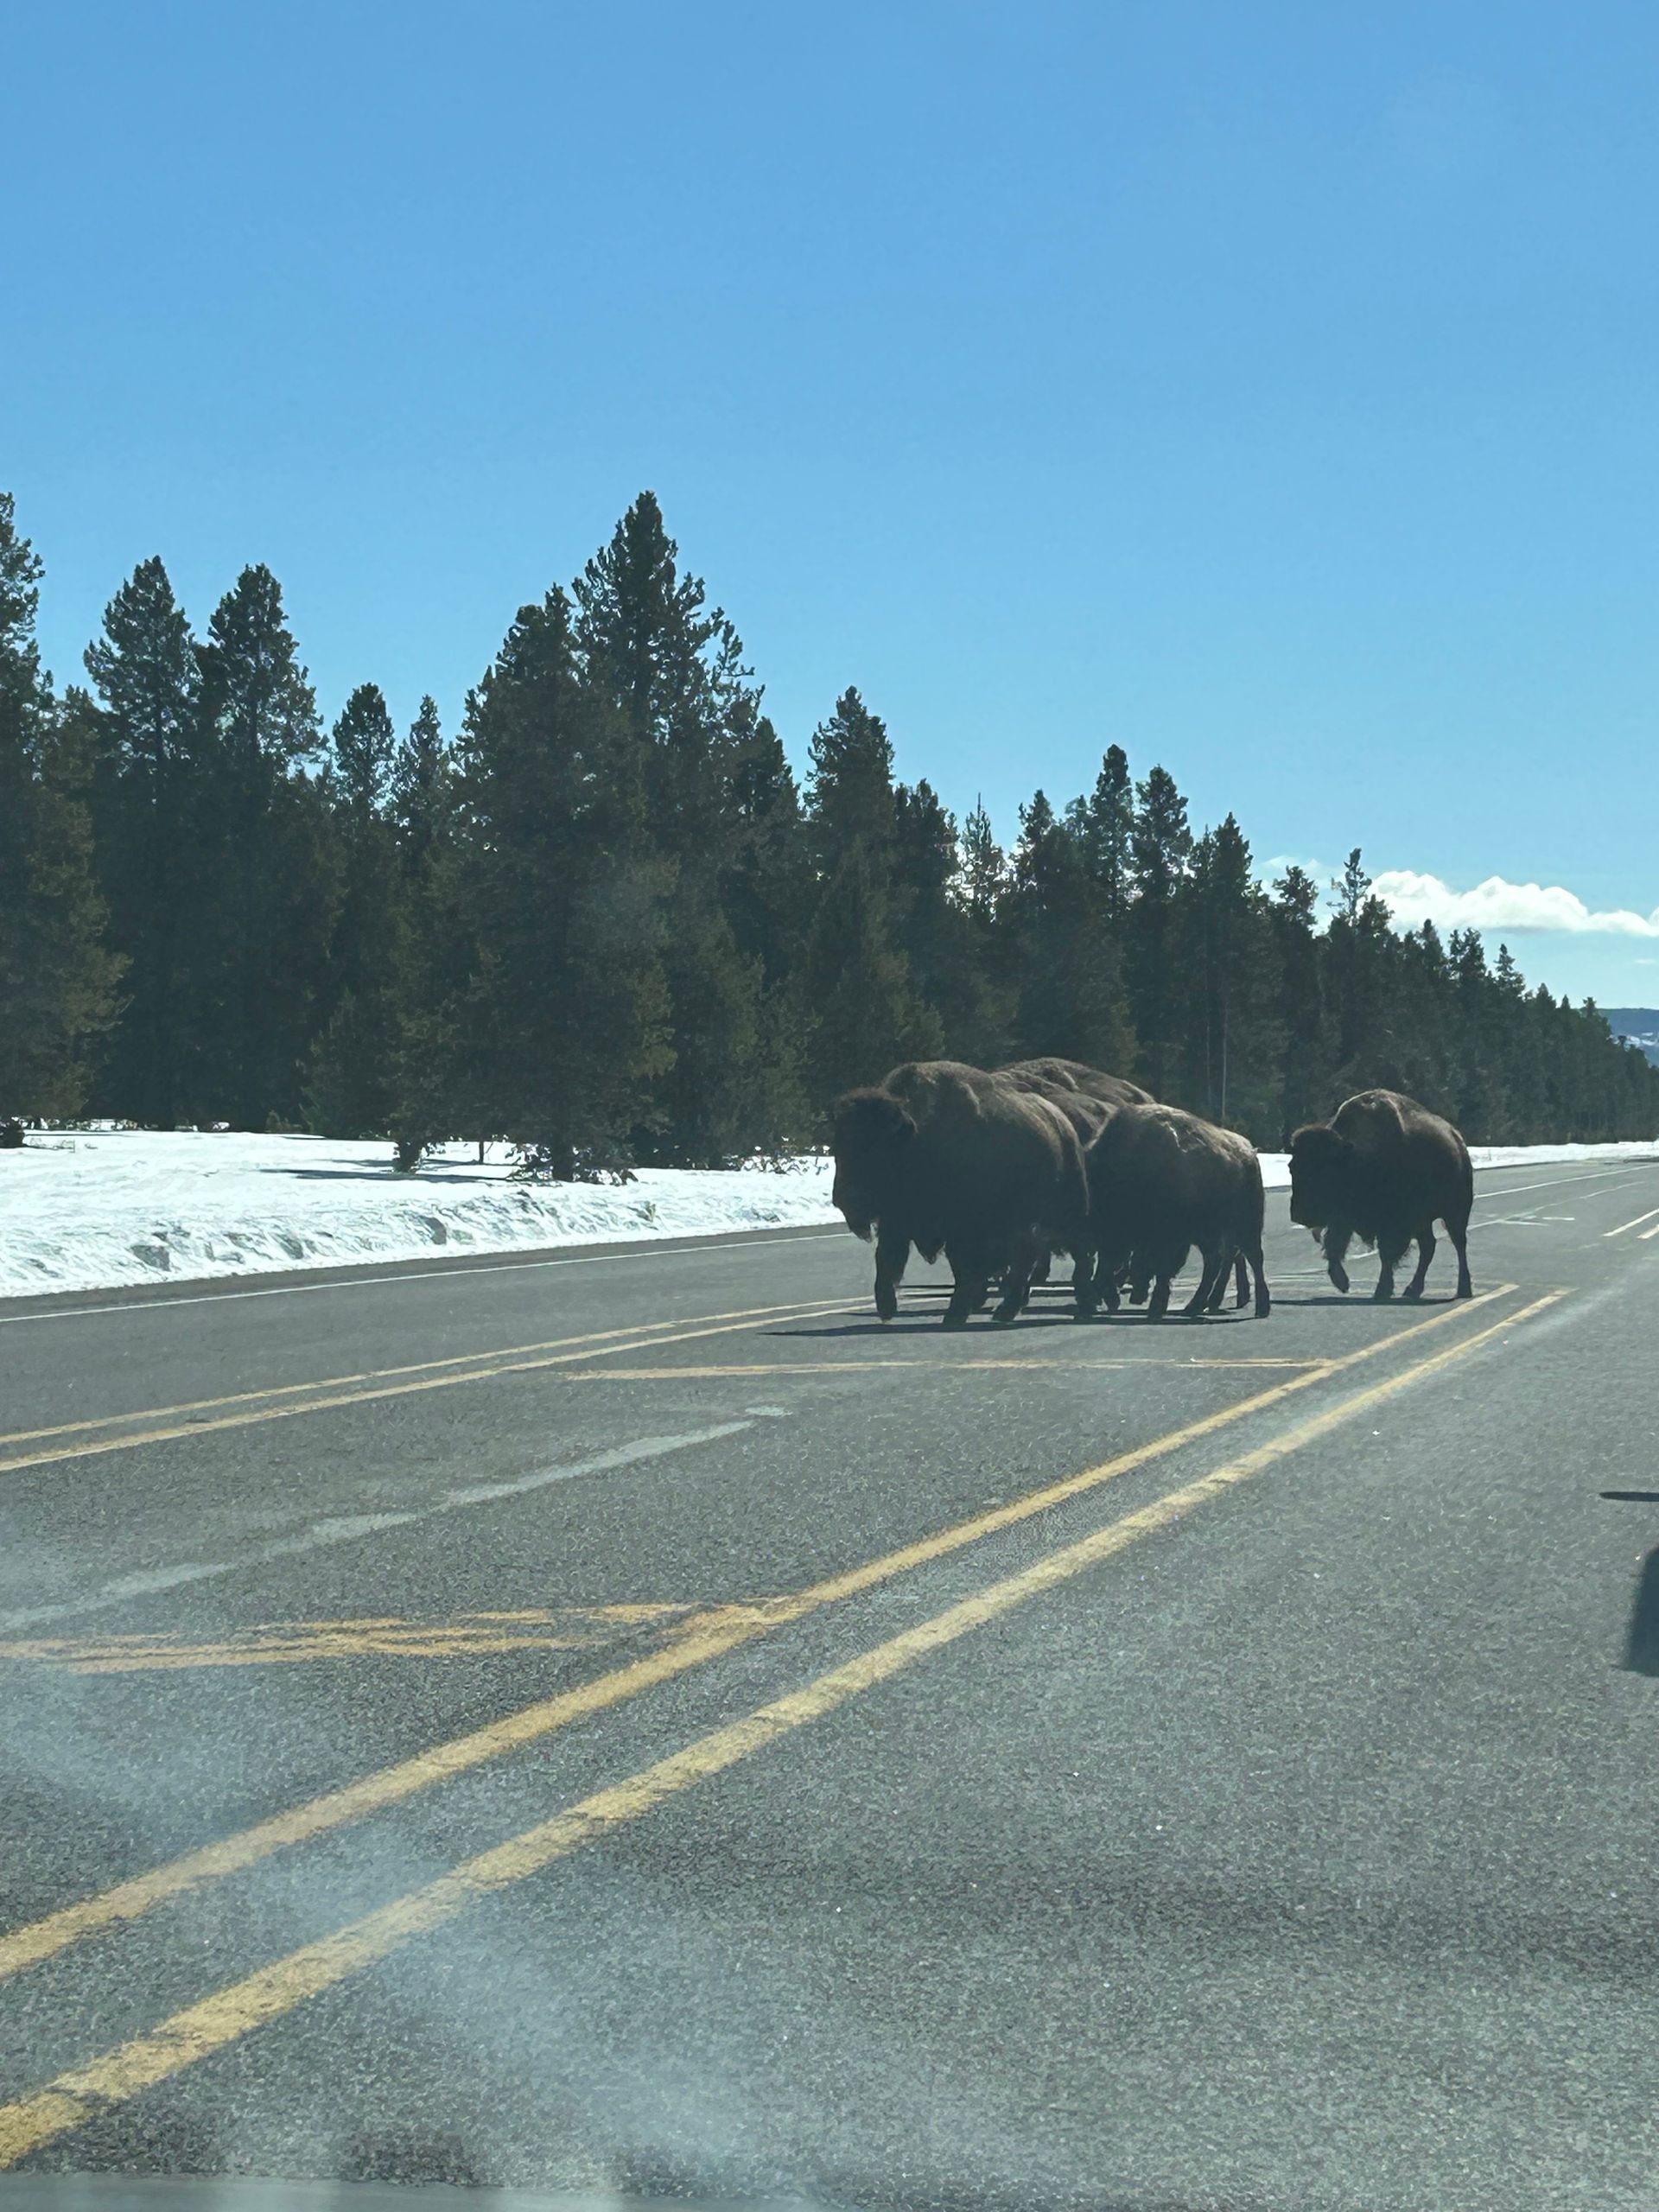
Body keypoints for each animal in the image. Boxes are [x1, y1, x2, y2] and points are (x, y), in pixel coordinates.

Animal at [830, 1059, 1093, 1327]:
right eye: (837, 1145)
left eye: (871, 1147)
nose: (842, 1199)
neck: (916, 1136)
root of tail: (1061, 1122)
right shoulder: (897, 1221)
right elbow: (886, 1260)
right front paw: (886, 1308)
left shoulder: (961, 1228)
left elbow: (962, 1267)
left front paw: (954, 1314)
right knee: (1027, 1258)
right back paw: (1007, 1310)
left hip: (1066, 1213)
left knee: (1073, 1253)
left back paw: (1079, 1305)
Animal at [1087, 1103, 1270, 1320]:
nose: (1135, 1297)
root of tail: (1248, 1152)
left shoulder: (1169, 1237)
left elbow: (1162, 1268)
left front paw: (1156, 1306)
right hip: (1212, 1233)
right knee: (1218, 1261)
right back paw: (1196, 1306)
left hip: (1245, 1226)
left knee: (1253, 1258)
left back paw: (1261, 1307)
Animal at [1289, 1088, 1473, 1301]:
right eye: (1292, 1167)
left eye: (1323, 1170)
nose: (1299, 1214)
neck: (1352, 1156)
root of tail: (1457, 1140)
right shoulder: (1343, 1218)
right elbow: (1334, 1246)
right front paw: (1342, 1283)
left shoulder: (1392, 1222)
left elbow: (1386, 1253)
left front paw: (1382, 1289)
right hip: (1424, 1221)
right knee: (1429, 1246)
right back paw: (1413, 1290)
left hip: (1455, 1212)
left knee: (1459, 1244)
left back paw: (1463, 1289)